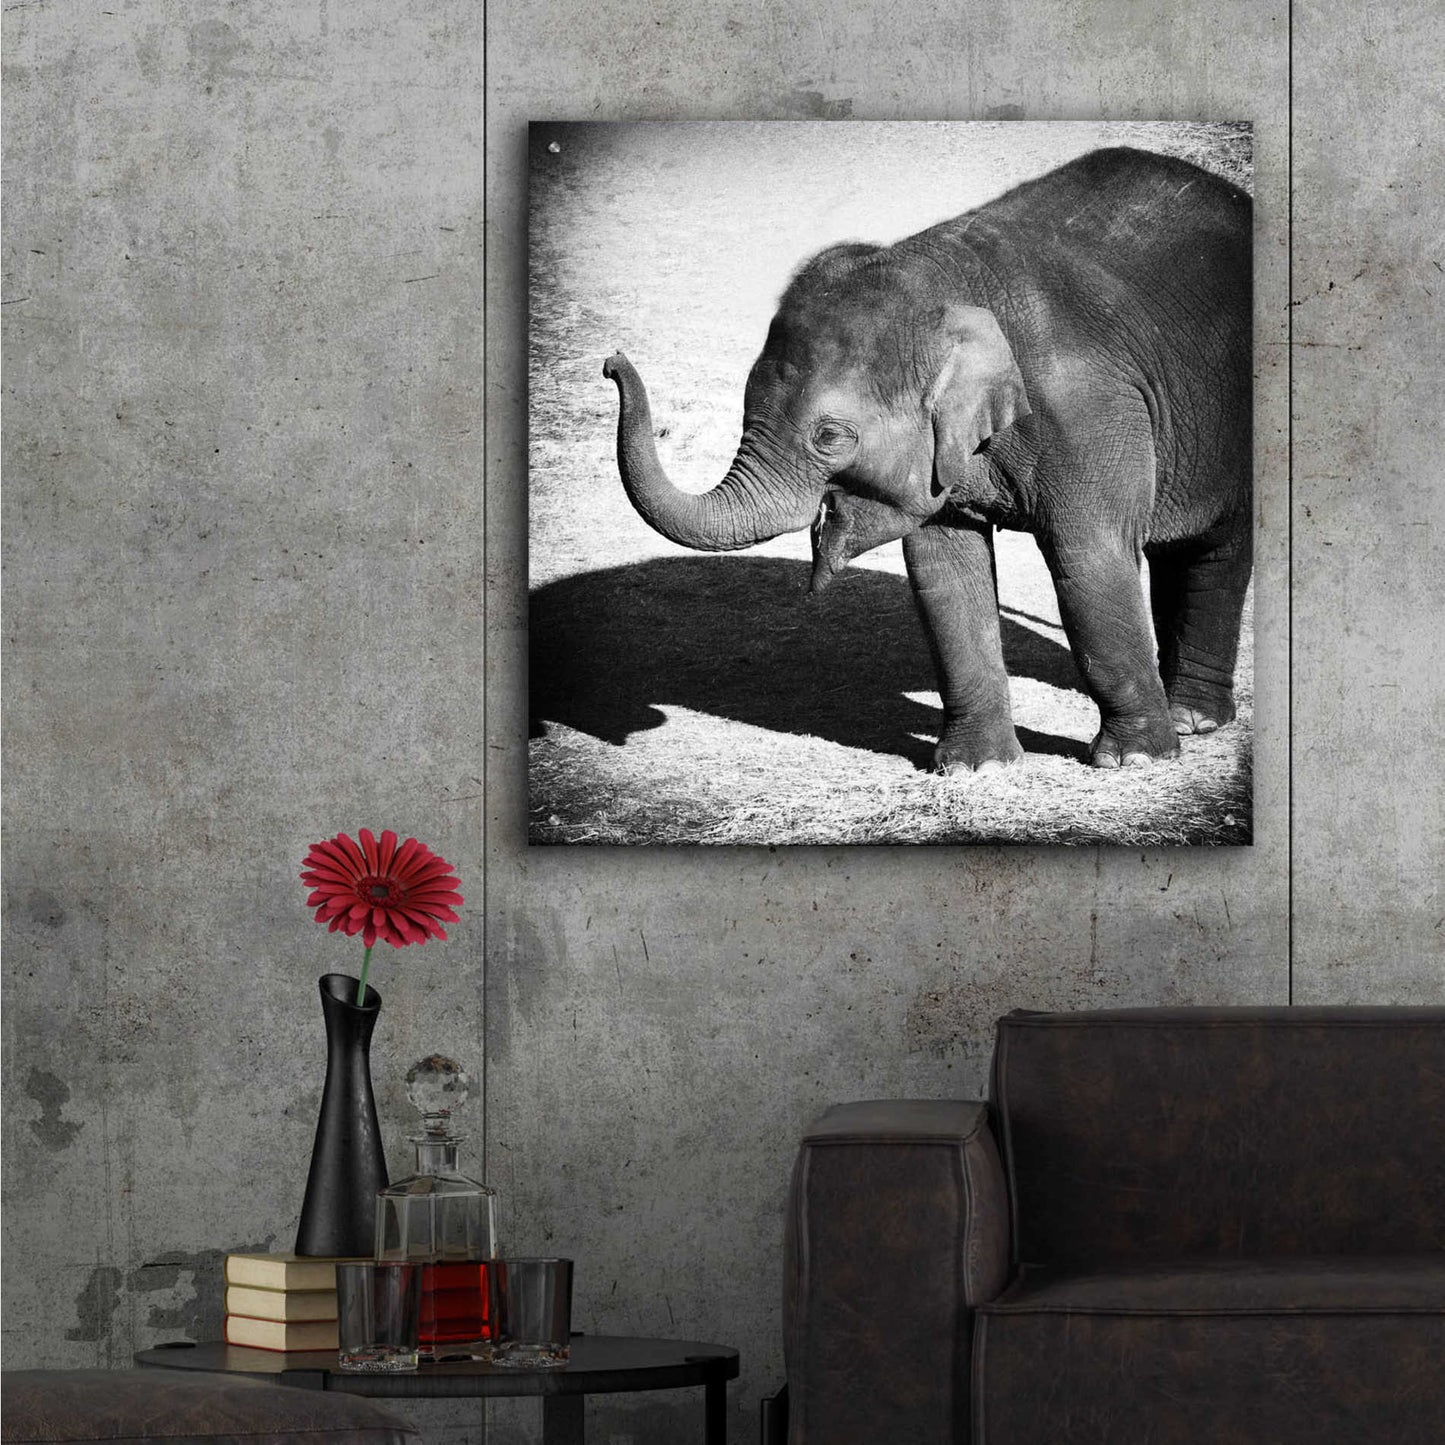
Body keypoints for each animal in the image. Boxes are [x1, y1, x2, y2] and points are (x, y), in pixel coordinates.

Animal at [603, 147, 1252, 772]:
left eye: (830, 437)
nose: (611, 361)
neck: (946, 284)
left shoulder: (1088, 412)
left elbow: (1089, 557)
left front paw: (1134, 760)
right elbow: (944, 570)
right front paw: (976, 769)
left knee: (1219, 546)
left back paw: (1191, 721)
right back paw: (1187, 715)